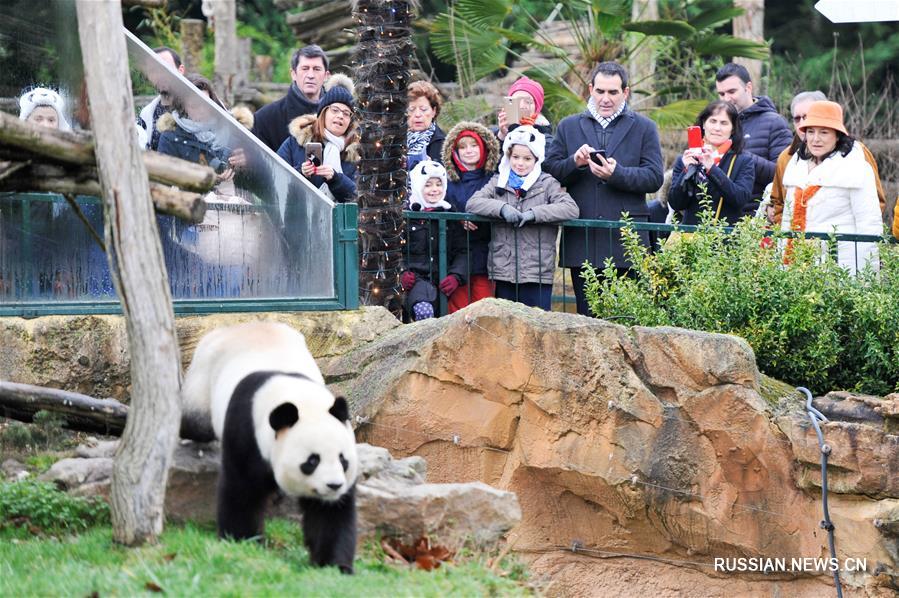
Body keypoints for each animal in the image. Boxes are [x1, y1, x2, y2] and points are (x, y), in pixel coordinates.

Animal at [181, 324, 360, 576]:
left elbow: (330, 515)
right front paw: (241, 541)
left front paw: (335, 566)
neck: (299, 399)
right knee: (195, 421)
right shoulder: (246, 429)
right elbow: (242, 491)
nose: (333, 485)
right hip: (203, 378)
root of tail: (236, 327)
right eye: (312, 461)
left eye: (343, 460)